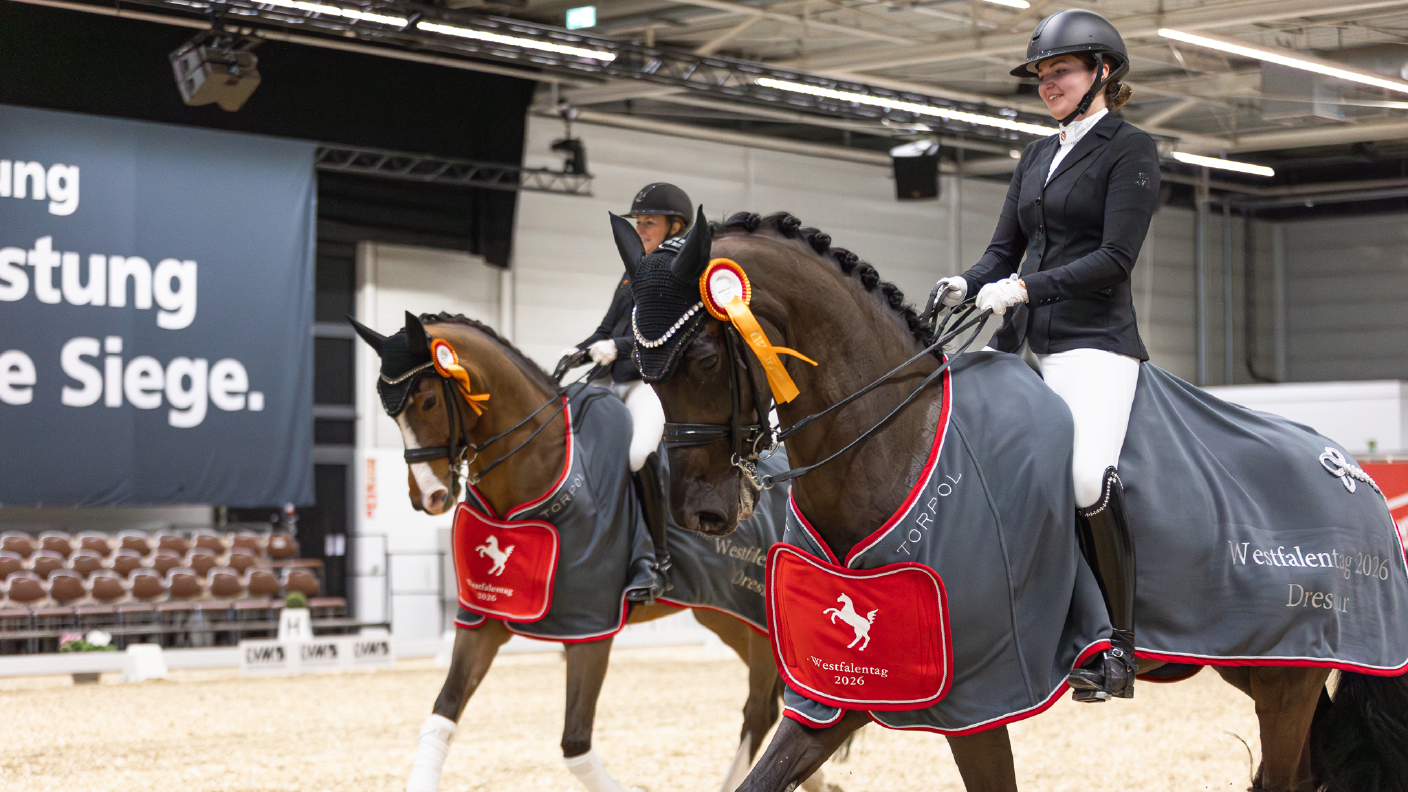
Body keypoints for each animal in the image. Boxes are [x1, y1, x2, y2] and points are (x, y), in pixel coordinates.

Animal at [356, 311, 837, 792]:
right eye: (390, 411)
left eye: (428, 402)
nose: (429, 497)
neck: (537, 466)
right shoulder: (485, 616)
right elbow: (443, 712)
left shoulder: (590, 626)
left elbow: (575, 743)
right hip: (729, 615)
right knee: (770, 705)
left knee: (761, 710)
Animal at [624, 209, 1408, 792]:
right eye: (642, 368)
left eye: (704, 358)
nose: (703, 513)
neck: (898, 444)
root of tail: (1356, 474)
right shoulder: (848, 690)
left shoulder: (982, 690)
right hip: (1257, 660)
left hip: (1287, 676)